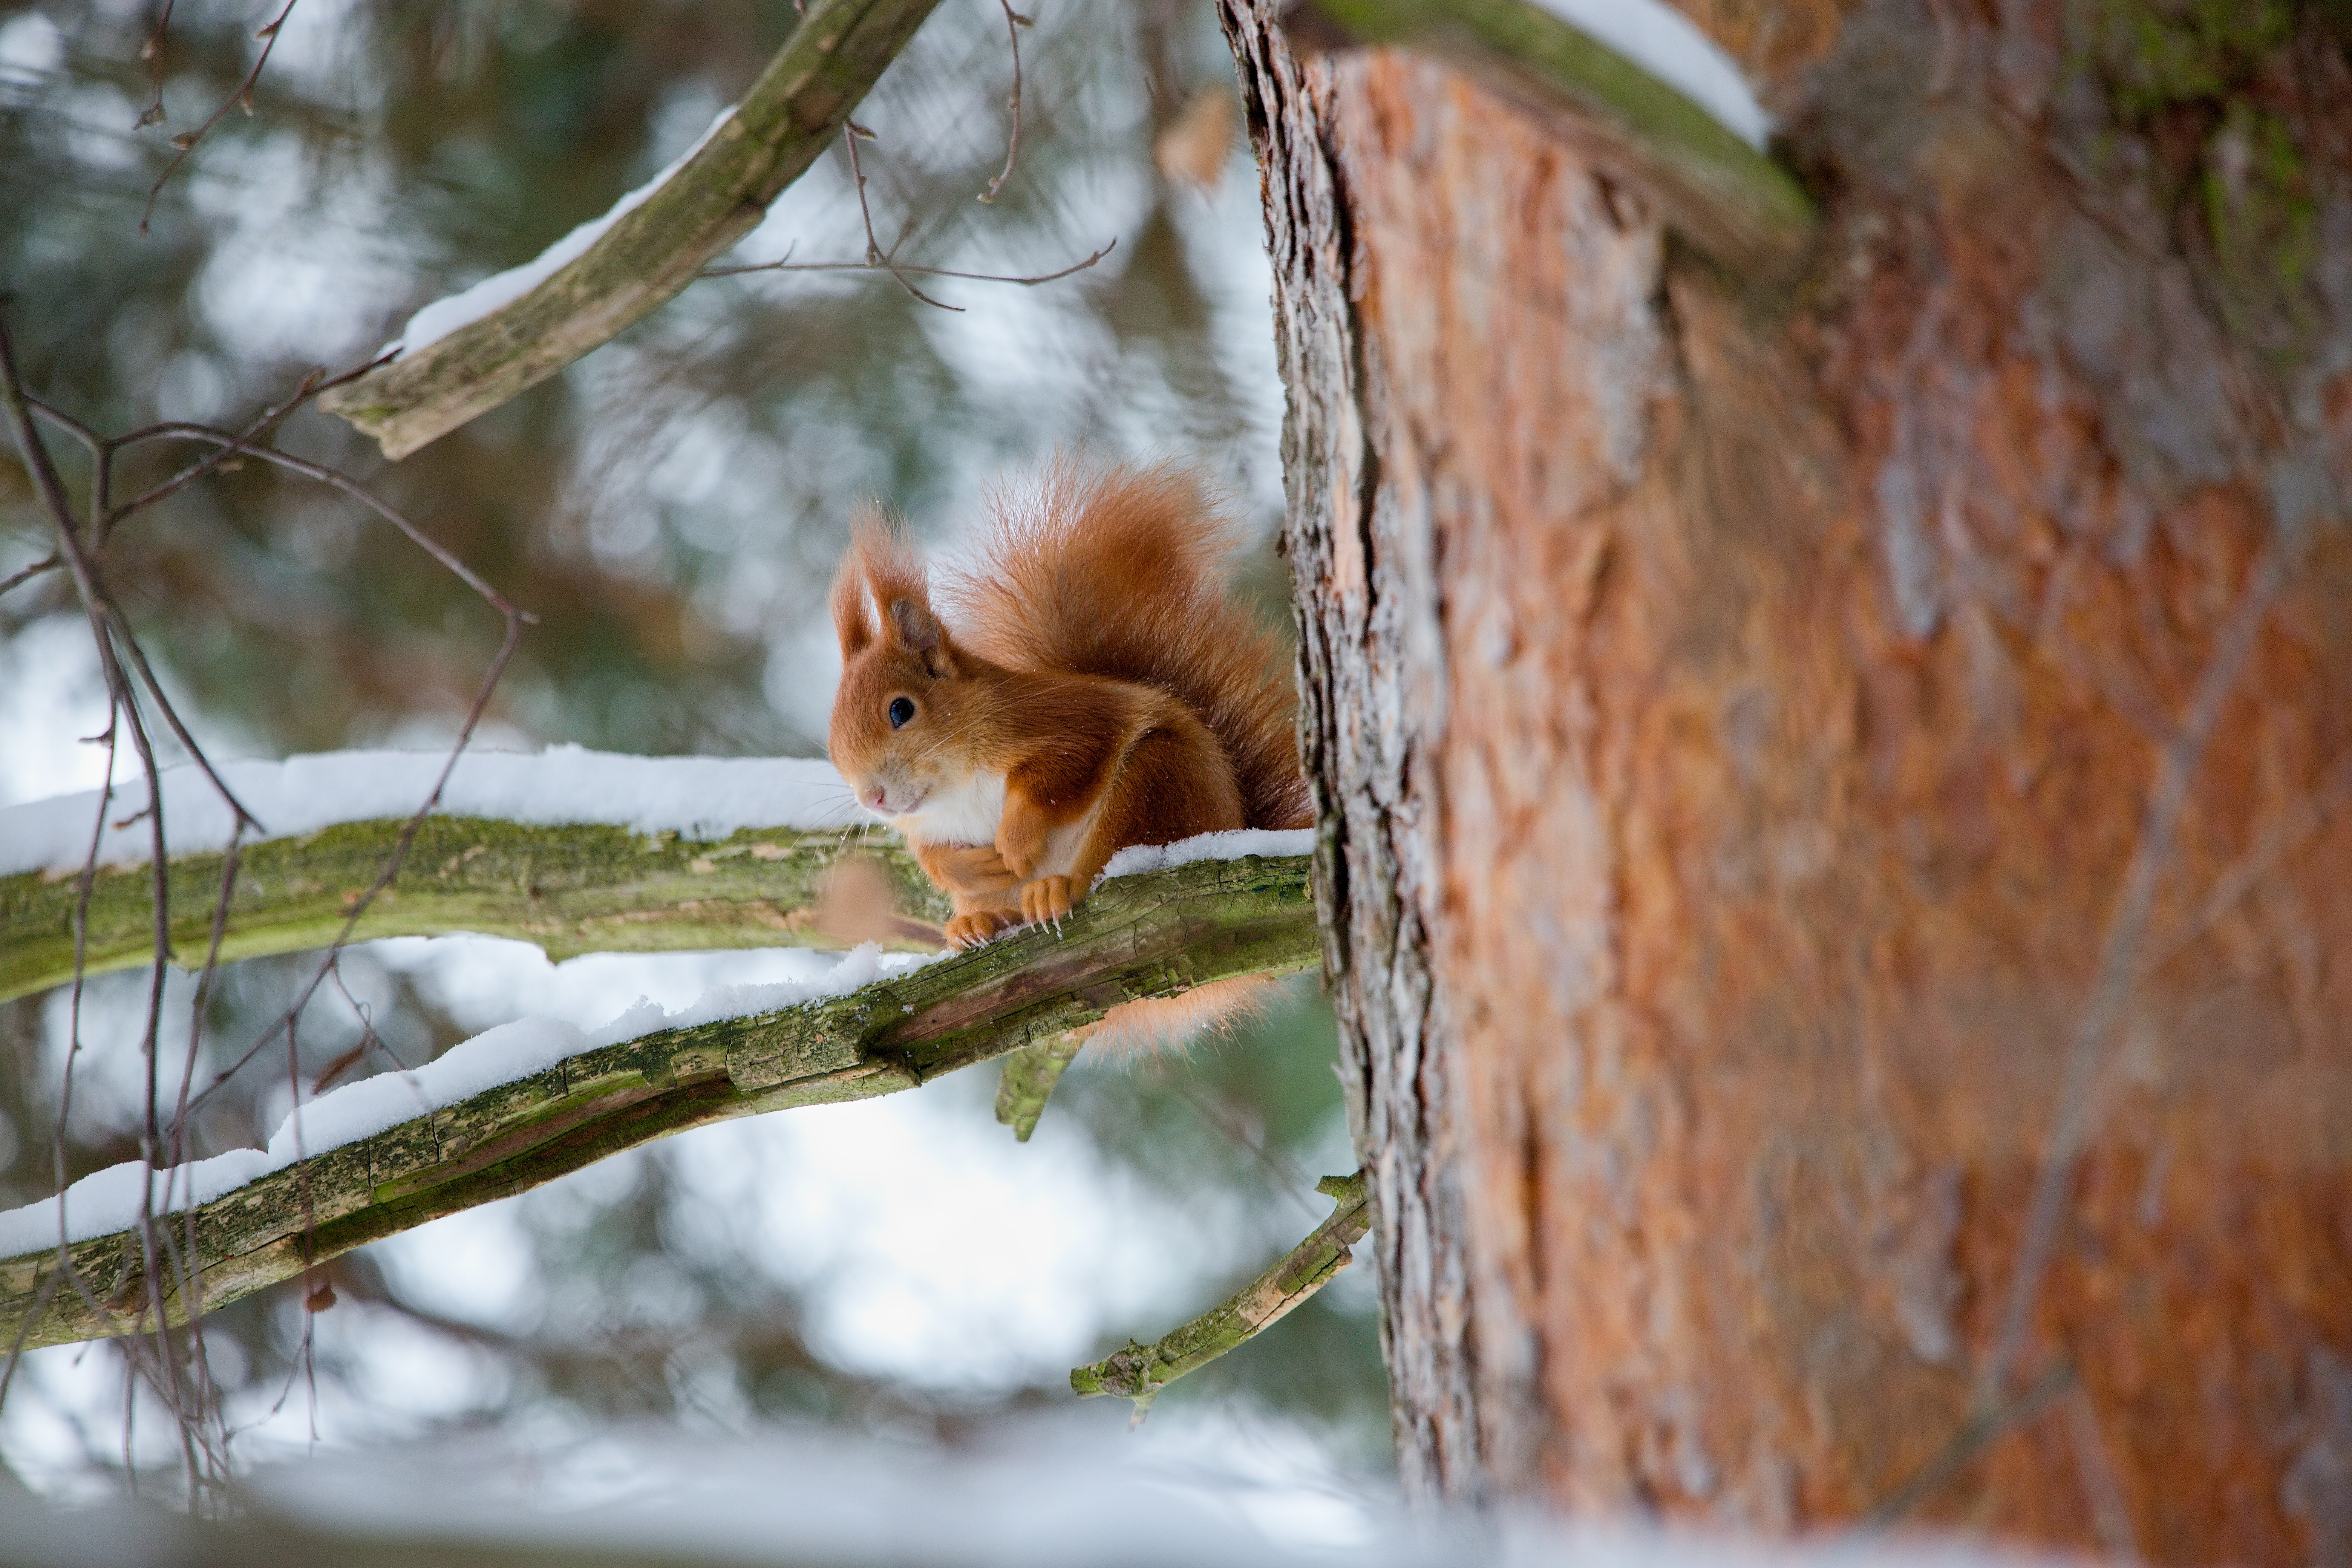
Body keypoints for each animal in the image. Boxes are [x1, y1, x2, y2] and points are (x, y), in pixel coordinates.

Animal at [823, 465, 1308, 1048]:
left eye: (901, 710)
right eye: (832, 738)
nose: (871, 798)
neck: (953, 785)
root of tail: (1233, 821)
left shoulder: (1065, 723)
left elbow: (1060, 776)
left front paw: (1013, 842)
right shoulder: (926, 826)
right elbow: (933, 859)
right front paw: (976, 866)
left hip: (1157, 785)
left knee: (1112, 866)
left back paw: (1057, 887)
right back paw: (976, 924)